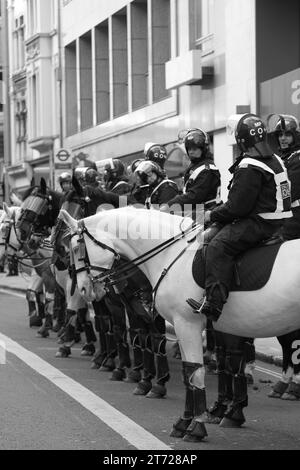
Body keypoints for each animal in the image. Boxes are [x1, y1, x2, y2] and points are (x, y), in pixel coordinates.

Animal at [59, 207, 300, 442]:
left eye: (76, 247)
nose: (83, 289)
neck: (171, 254)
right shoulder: (185, 324)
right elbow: (189, 372)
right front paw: (184, 422)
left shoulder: (187, 324)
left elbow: (195, 371)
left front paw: (197, 427)